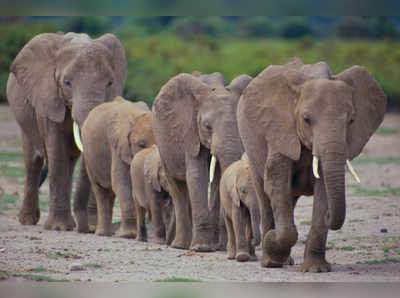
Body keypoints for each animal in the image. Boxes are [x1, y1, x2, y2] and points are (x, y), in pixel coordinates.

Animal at [7, 31, 127, 230]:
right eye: (67, 82)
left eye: (110, 83)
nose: (87, 228)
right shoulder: (48, 98)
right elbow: (56, 150)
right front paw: (58, 227)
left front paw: (91, 226)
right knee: (33, 161)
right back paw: (28, 220)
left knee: (69, 162)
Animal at [78, 96, 155, 239]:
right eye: (141, 145)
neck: (136, 116)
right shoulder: (117, 145)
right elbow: (121, 183)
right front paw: (128, 235)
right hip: (88, 156)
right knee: (100, 190)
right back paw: (103, 234)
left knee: (110, 193)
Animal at [152, 72, 252, 251]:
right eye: (207, 126)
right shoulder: (189, 132)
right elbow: (197, 176)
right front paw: (201, 248)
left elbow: (218, 178)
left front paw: (218, 247)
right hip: (162, 144)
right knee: (177, 188)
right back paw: (180, 245)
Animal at [238, 57, 388, 272]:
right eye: (306, 119)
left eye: (351, 120)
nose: (329, 217)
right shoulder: (280, 130)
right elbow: (276, 184)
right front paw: (272, 245)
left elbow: (323, 189)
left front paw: (316, 269)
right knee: (264, 195)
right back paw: (270, 259)